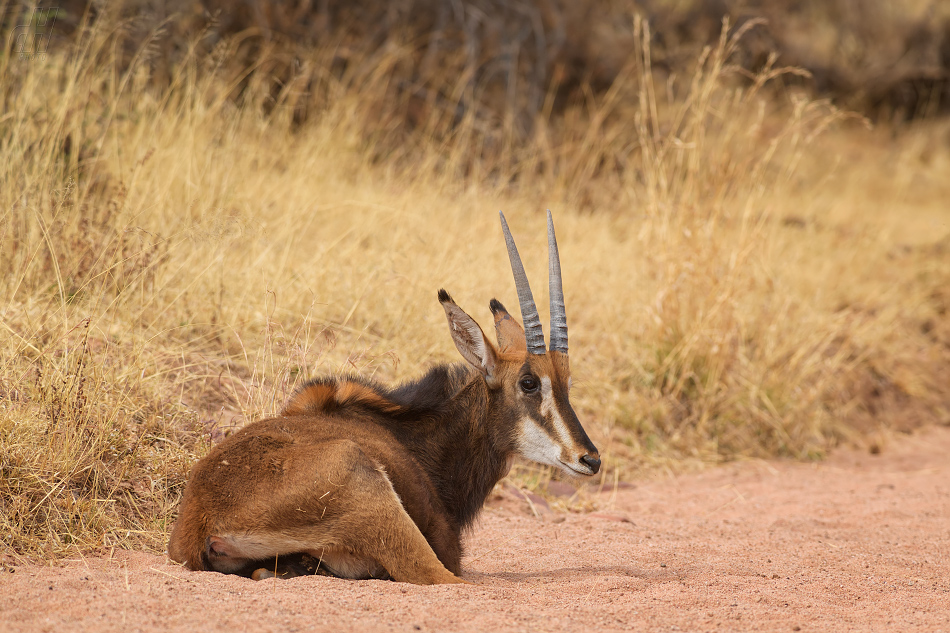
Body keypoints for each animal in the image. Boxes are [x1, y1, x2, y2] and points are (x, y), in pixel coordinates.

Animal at [169, 211, 604, 584]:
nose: (591, 459)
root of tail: (201, 520)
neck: (419, 439)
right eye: (529, 383)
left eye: (566, 382)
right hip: (370, 489)